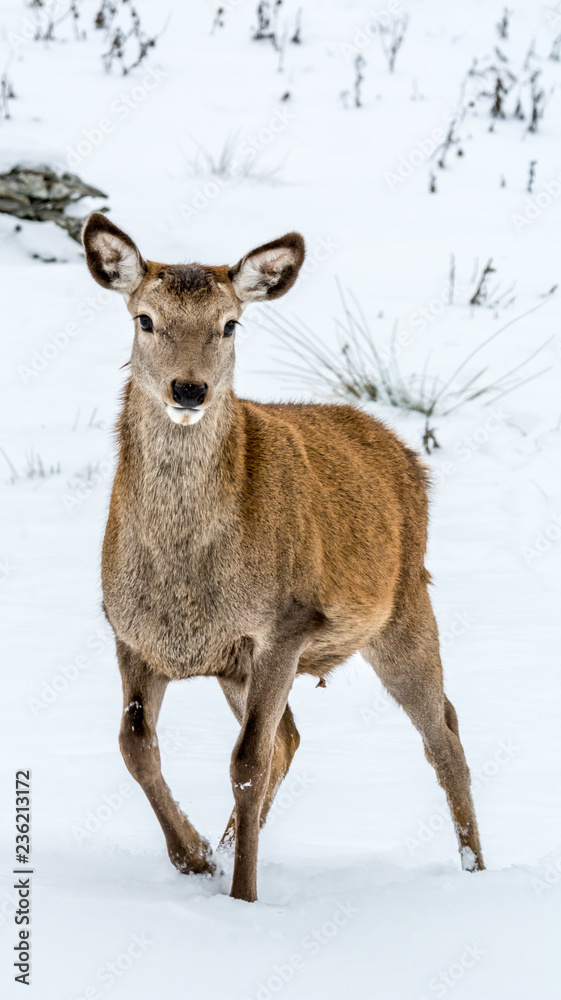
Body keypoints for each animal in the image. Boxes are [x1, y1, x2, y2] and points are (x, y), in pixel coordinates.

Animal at [82, 213, 482, 908]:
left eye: (229, 324)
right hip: (239, 668)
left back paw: (475, 869)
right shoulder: (133, 633)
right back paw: (222, 847)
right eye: (145, 319)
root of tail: (405, 453)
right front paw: (193, 857)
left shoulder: (283, 627)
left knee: (444, 734)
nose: (190, 388)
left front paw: (243, 898)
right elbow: (136, 747)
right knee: (293, 737)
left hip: (405, 606)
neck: (182, 580)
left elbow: (246, 762)